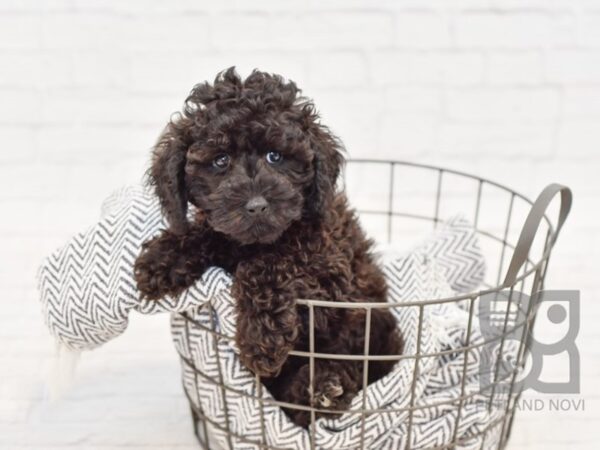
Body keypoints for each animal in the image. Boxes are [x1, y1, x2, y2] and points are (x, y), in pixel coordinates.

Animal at [134, 67, 400, 428]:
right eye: (220, 160)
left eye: (276, 156)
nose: (257, 205)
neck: (252, 244)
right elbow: (208, 232)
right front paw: (163, 258)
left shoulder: (331, 272)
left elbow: (268, 263)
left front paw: (261, 338)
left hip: (372, 328)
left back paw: (323, 389)